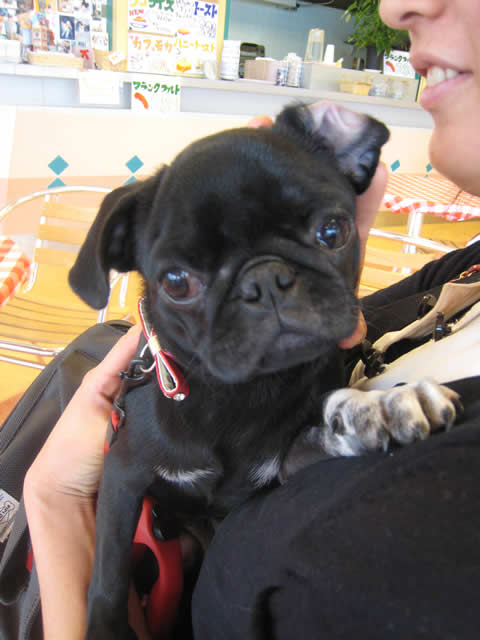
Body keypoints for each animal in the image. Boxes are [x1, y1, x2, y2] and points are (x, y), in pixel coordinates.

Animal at [69, 102, 460, 639]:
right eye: (175, 282)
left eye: (333, 232)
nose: (265, 279)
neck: (239, 393)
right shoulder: (123, 478)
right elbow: (108, 575)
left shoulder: (286, 465)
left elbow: (328, 433)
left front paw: (382, 407)